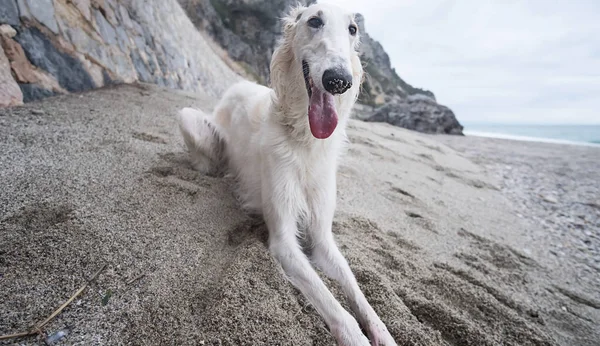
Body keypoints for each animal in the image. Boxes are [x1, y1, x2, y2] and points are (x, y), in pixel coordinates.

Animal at [176, 3, 396, 346]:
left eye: (353, 29)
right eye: (314, 21)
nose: (338, 80)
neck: (304, 141)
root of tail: (238, 84)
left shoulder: (322, 236)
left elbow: (358, 294)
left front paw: (383, 333)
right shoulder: (283, 241)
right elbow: (339, 310)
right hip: (190, 119)